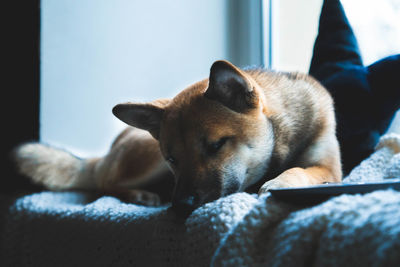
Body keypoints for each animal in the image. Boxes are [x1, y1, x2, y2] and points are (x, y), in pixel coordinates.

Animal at [14, 59, 342, 217]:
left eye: (216, 145)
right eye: (172, 158)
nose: (182, 205)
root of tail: (106, 153)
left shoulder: (327, 167)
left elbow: (299, 169)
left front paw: (280, 182)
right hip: (146, 158)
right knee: (104, 183)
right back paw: (140, 195)